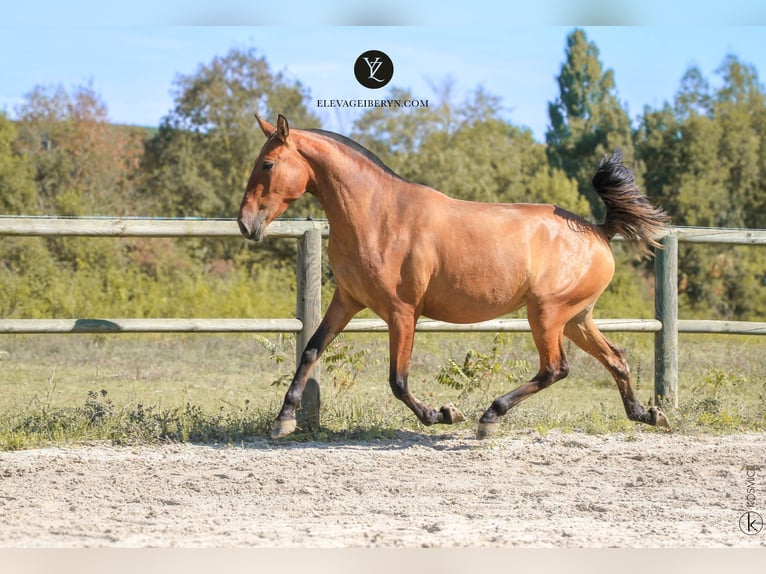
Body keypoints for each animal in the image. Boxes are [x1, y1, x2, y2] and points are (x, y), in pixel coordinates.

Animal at [238, 114, 671, 439]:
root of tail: (599, 231)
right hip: (576, 317)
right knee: (615, 358)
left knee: (555, 369)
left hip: (547, 313)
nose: (245, 224)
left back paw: (489, 417)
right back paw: (647, 414)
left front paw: (443, 414)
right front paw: (283, 420)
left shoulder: (401, 312)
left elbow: (398, 379)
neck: (377, 215)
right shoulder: (347, 300)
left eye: (267, 164)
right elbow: (311, 350)